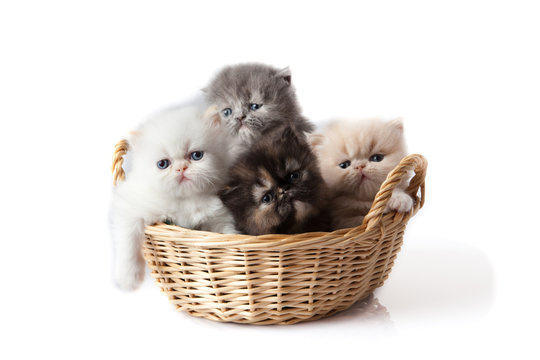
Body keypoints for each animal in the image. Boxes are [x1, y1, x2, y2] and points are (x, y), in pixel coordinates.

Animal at [110, 103, 236, 290]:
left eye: (196, 155)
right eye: (163, 164)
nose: (181, 168)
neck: (185, 200)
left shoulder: (219, 218)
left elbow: (228, 235)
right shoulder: (130, 207)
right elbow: (128, 240)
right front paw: (129, 278)